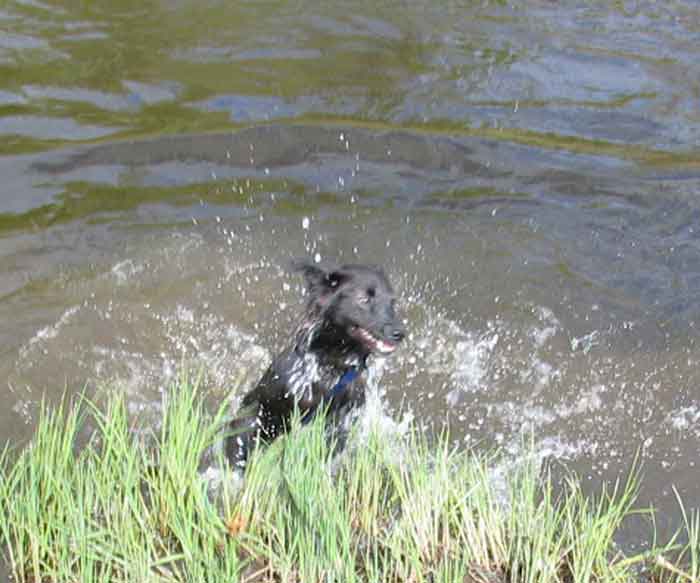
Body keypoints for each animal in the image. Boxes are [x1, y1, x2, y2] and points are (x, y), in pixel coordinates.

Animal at [226, 260, 404, 470]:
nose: (400, 333)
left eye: (392, 302)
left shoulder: (341, 423)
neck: (331, 369)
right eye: (364, 299)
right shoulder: (261, 411)